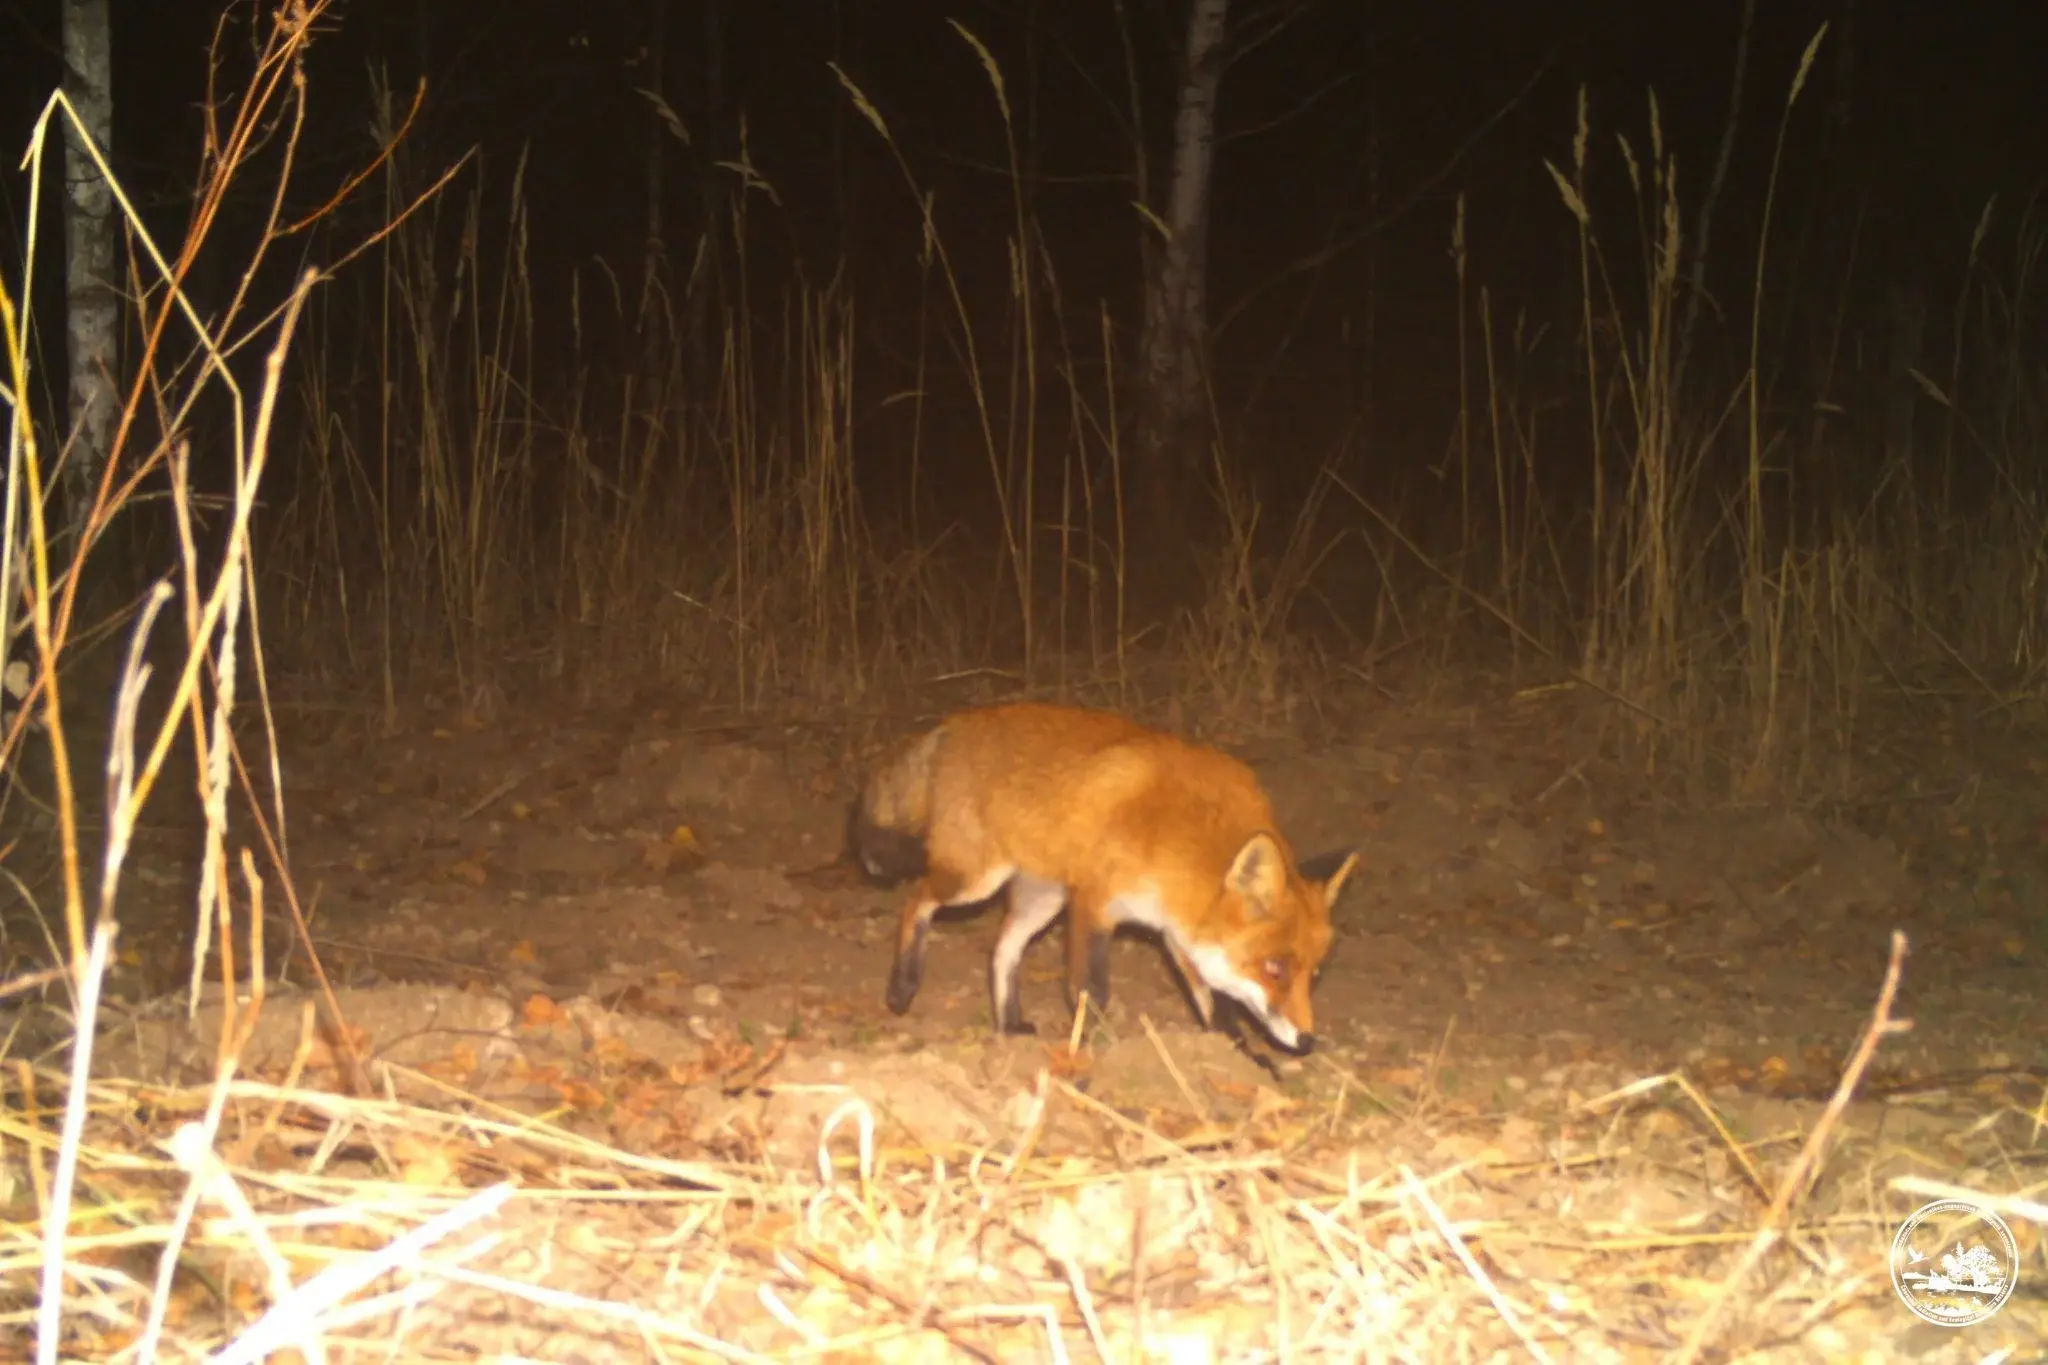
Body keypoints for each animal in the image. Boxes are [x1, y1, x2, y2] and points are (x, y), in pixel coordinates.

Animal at [847, 703, 1359, 1055]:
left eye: (1314, 974)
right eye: (1274, 968)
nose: (1308, 1041)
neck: (1175, 835)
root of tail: (954, 722)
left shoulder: (1177, 932)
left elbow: (1215, 1005)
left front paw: (1240, 1062)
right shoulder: (1095, 902)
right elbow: (1091, 990)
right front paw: (1093, 1050)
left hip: (1043, 899)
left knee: (1001, 951)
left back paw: (1009, 1025)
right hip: (975, 881)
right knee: (916, 899)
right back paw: (903, 984)